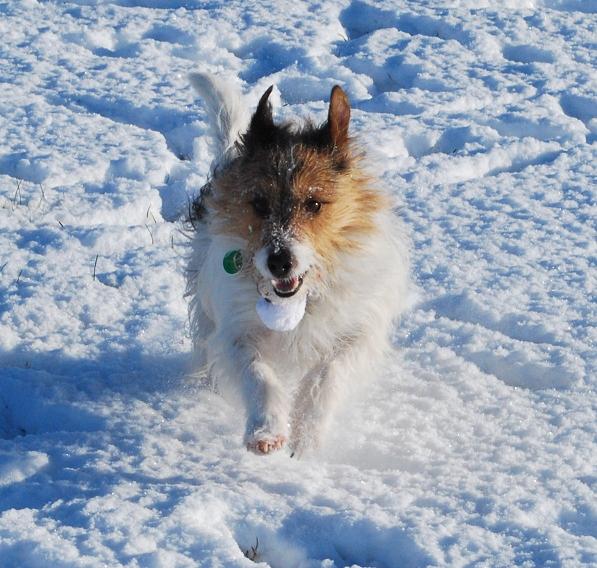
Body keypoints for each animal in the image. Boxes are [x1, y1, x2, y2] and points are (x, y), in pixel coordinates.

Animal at [186, 73, 410, 458]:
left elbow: (329, 374)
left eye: (315, 203)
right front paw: (266, 430)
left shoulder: (358, 332)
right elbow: (258, 374)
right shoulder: (236, 331)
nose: (279, 262)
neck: (298, 301)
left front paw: (307, 437)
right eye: (259, 204)